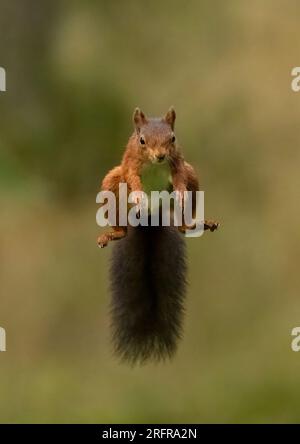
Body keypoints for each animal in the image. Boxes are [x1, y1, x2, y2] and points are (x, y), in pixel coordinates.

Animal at [98, 107, 218, 364]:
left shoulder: (179, 162)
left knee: (183, 223)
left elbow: (180, 176)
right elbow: (132, 176)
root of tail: (152, 215)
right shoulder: (131, 163)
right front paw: (139, 194)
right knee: (122, 226)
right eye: (142, 140)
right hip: (112, 182)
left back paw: (196, 223)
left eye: (172, 138)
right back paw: (113, 234)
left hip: (193, 177)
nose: (161, 156)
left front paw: (181, 192)